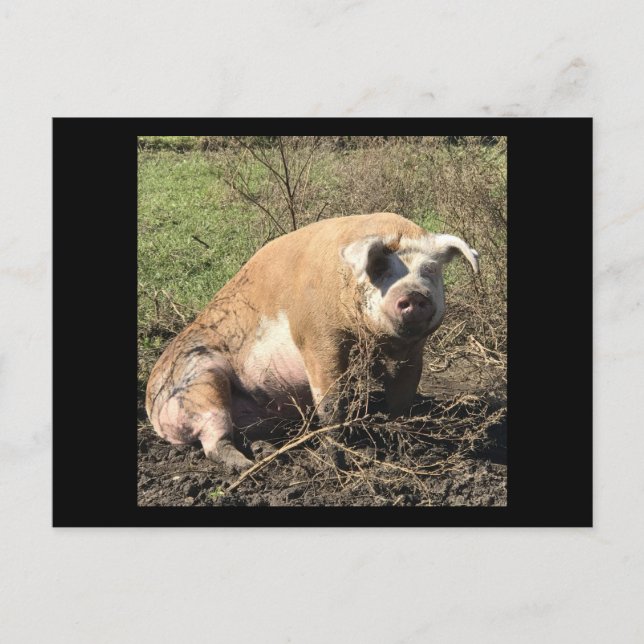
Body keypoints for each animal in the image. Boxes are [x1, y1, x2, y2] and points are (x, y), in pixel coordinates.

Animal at [145, 212, 479, 471]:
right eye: (380, 269)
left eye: (430, 270)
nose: (414, 294)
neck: (372, 340)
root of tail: (150, 404)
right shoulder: (317, 338)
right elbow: (331, 402)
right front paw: (337, 461)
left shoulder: (412, 351)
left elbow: (402, 399)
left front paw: (405, 442)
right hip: (200, 381)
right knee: (214, 441)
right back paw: (248, 467)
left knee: (242, 434)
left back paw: (267, 454)